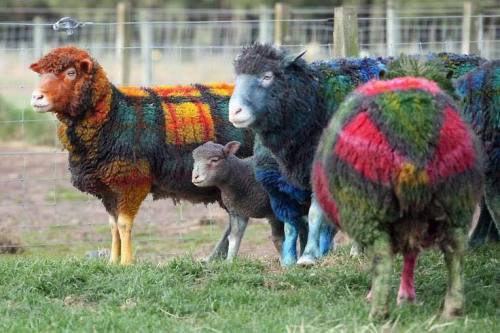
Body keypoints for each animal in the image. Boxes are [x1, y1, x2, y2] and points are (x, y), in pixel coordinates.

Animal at [28, 46, 254, 264]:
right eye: (42, 74)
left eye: (71, 73)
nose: (36, 97)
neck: (115, 114)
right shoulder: (107, 188)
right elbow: (113, 225)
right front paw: (112, 261)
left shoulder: (132, 181)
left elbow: (123, 224)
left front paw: (127, 262)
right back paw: (214, 258)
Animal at [229, 42, 388, 264]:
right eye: (237, 79)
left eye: (267, 76)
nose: (234, 111)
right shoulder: (279, 187)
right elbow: (290, 225)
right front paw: (288, 261)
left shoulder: (321, 176)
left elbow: (314, 215)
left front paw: (308, 257)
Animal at [312, 76, 484, 318]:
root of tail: (414, 145)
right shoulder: (413, 222)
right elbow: (411, 254)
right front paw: (407, 296)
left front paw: (382, 295)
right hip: (455, 201)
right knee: (455, 251)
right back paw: (453, 308)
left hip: (369, 208)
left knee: (381, 257)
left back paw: (378, 312)